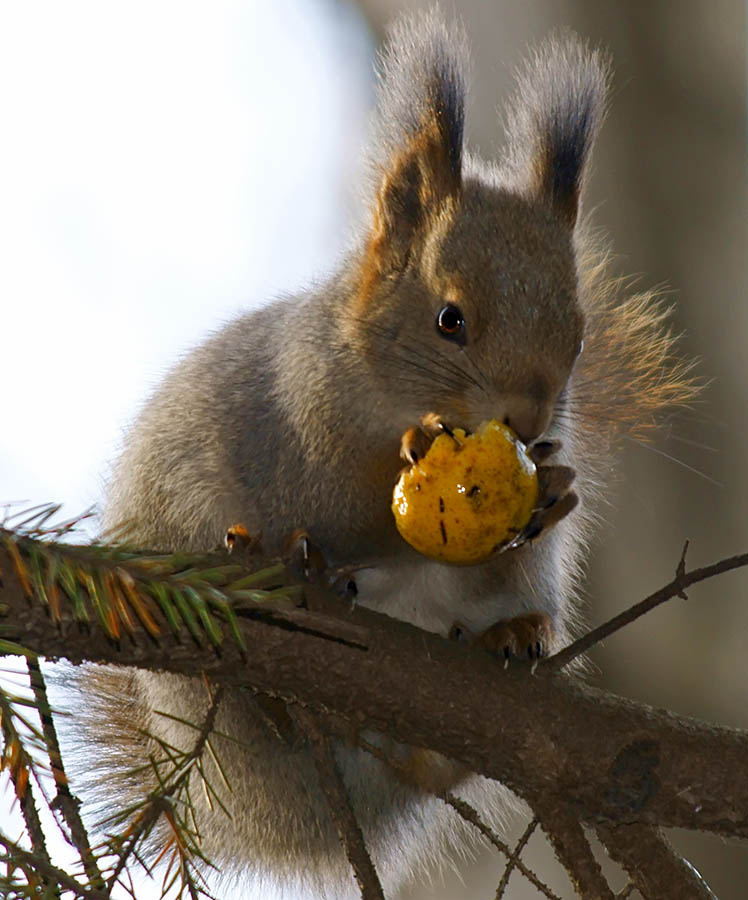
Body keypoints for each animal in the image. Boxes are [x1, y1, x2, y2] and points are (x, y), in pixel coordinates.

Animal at [77, 8, 696, 900]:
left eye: (579, 338)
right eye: (450, 320)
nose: (529, 417)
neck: (385, 384)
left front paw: (555, 489)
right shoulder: (305, 412)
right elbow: (344, 494)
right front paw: (411, 459)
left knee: (441, 749)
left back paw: (510, 638)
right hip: (202, 670)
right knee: (255, 699)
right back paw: (278, 627)